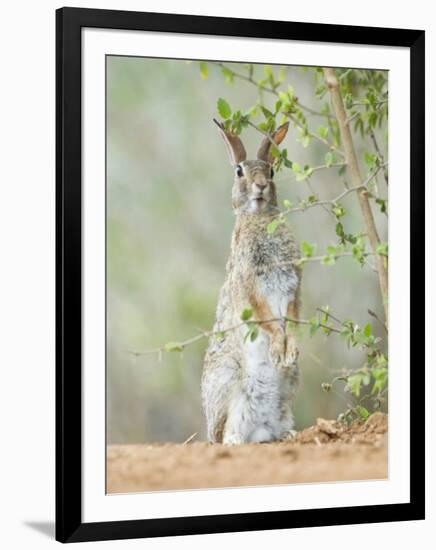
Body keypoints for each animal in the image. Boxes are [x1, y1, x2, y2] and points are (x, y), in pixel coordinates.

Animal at [202, 118, 302, 446]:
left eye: (271, 171)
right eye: (239, 171)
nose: (260, 185)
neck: (259, 218)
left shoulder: (294, 286)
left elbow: (292, 317)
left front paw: (289, 350)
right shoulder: (251, 289)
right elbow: (267, 320)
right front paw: (278, 349)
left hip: (290, 386)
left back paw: (288, 434)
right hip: (228, 380)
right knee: (226, 434)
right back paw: (234, 440)